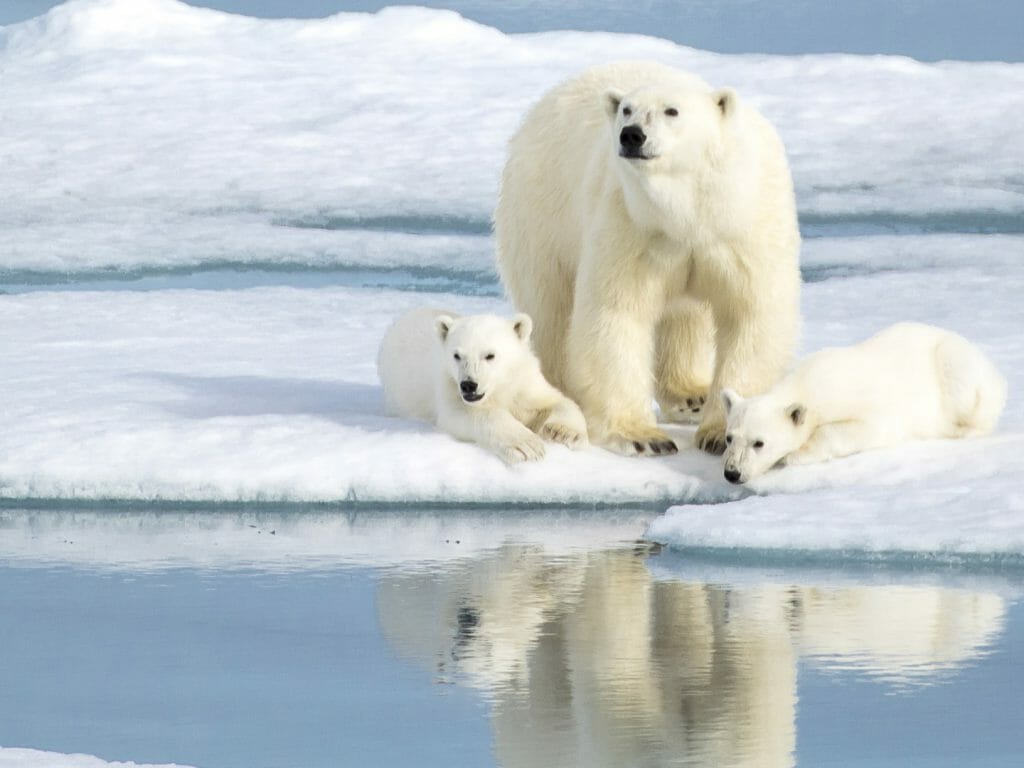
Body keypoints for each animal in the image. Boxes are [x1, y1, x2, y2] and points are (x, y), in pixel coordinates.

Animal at [377, 306, 589, 464]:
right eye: (457, 355)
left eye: (490, 355)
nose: (468, 385)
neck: (499, 389)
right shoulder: (449, 385)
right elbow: (466, 414)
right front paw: (526, 445)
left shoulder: (524, 383)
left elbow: (557, 401)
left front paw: (563, 432)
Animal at [494, 60, 801, 457]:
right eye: (627, 109)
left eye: (672, 111)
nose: (631, 136)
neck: (689, 211)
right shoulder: (631, 224)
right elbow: (616, 312)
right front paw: (642, 437)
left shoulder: (742, 229)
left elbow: (750, 314)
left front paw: (720, 433)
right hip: (543, 213)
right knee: (552, 309)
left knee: (686, 316)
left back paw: (691, 395)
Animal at [720, 323, 1008, 484]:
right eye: (729, 438)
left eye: (759, 443)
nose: (732, 473)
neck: (806, 381)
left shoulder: (863, 404)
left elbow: (864, 428)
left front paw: (796, 454)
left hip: (954, 364)